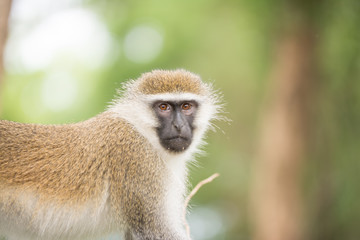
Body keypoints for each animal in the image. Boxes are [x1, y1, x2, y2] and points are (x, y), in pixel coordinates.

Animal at [0, 69, 222, 240]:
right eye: (164, 107)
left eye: (186, 106)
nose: (178, 126)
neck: (141, 131)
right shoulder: (138, 160)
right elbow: (154, 230)